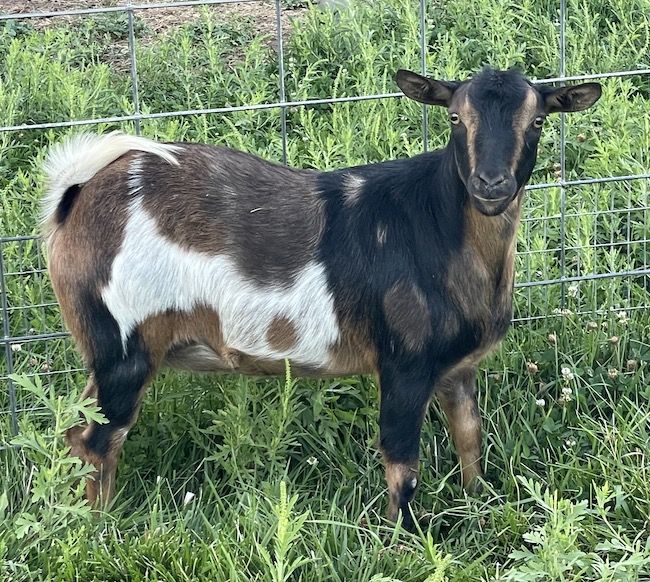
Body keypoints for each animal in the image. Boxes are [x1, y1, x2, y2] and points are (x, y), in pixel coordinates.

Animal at [42, 67, 601, 528]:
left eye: (537, 121)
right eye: (455, 117)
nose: (490, 183)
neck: (436, 226)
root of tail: (77, 196)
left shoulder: (457, 367)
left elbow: (469, 436)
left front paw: (479, 506)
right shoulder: (403, 361)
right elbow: (402, 461)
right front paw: (405, 540)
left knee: (78, 434)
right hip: (121, 344)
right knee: (96, 440)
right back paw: (99, 531)